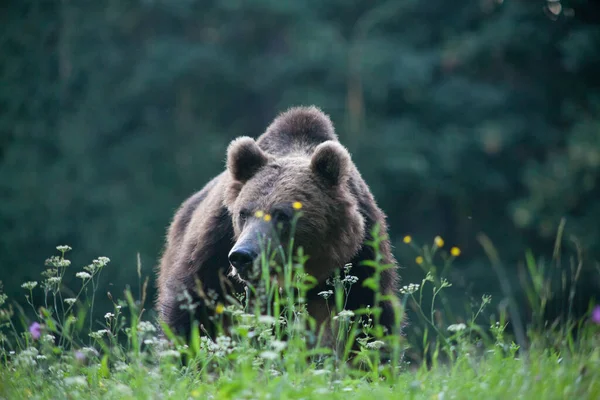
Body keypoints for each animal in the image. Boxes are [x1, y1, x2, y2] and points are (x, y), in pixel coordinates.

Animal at [155, 104, 400, 348]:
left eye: (282, 215)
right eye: (243, 213)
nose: (242, 256)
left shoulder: (362, 256)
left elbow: (369, 317)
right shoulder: (215, 246)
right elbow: (191, 306)